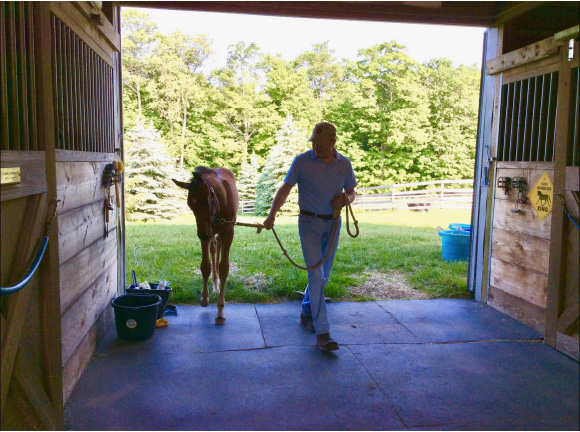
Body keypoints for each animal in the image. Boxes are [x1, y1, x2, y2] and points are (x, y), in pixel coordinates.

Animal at [172, 167, 238, 322]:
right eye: (190, 205)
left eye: (205, 202)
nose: (202, 235)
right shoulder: (207, 232)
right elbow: (206, 266)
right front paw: (204, 297)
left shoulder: (228, 231)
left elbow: (224, 268)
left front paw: (220, 309)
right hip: (212, 233)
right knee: (214, 248)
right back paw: (214, 284)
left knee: (218, 246)